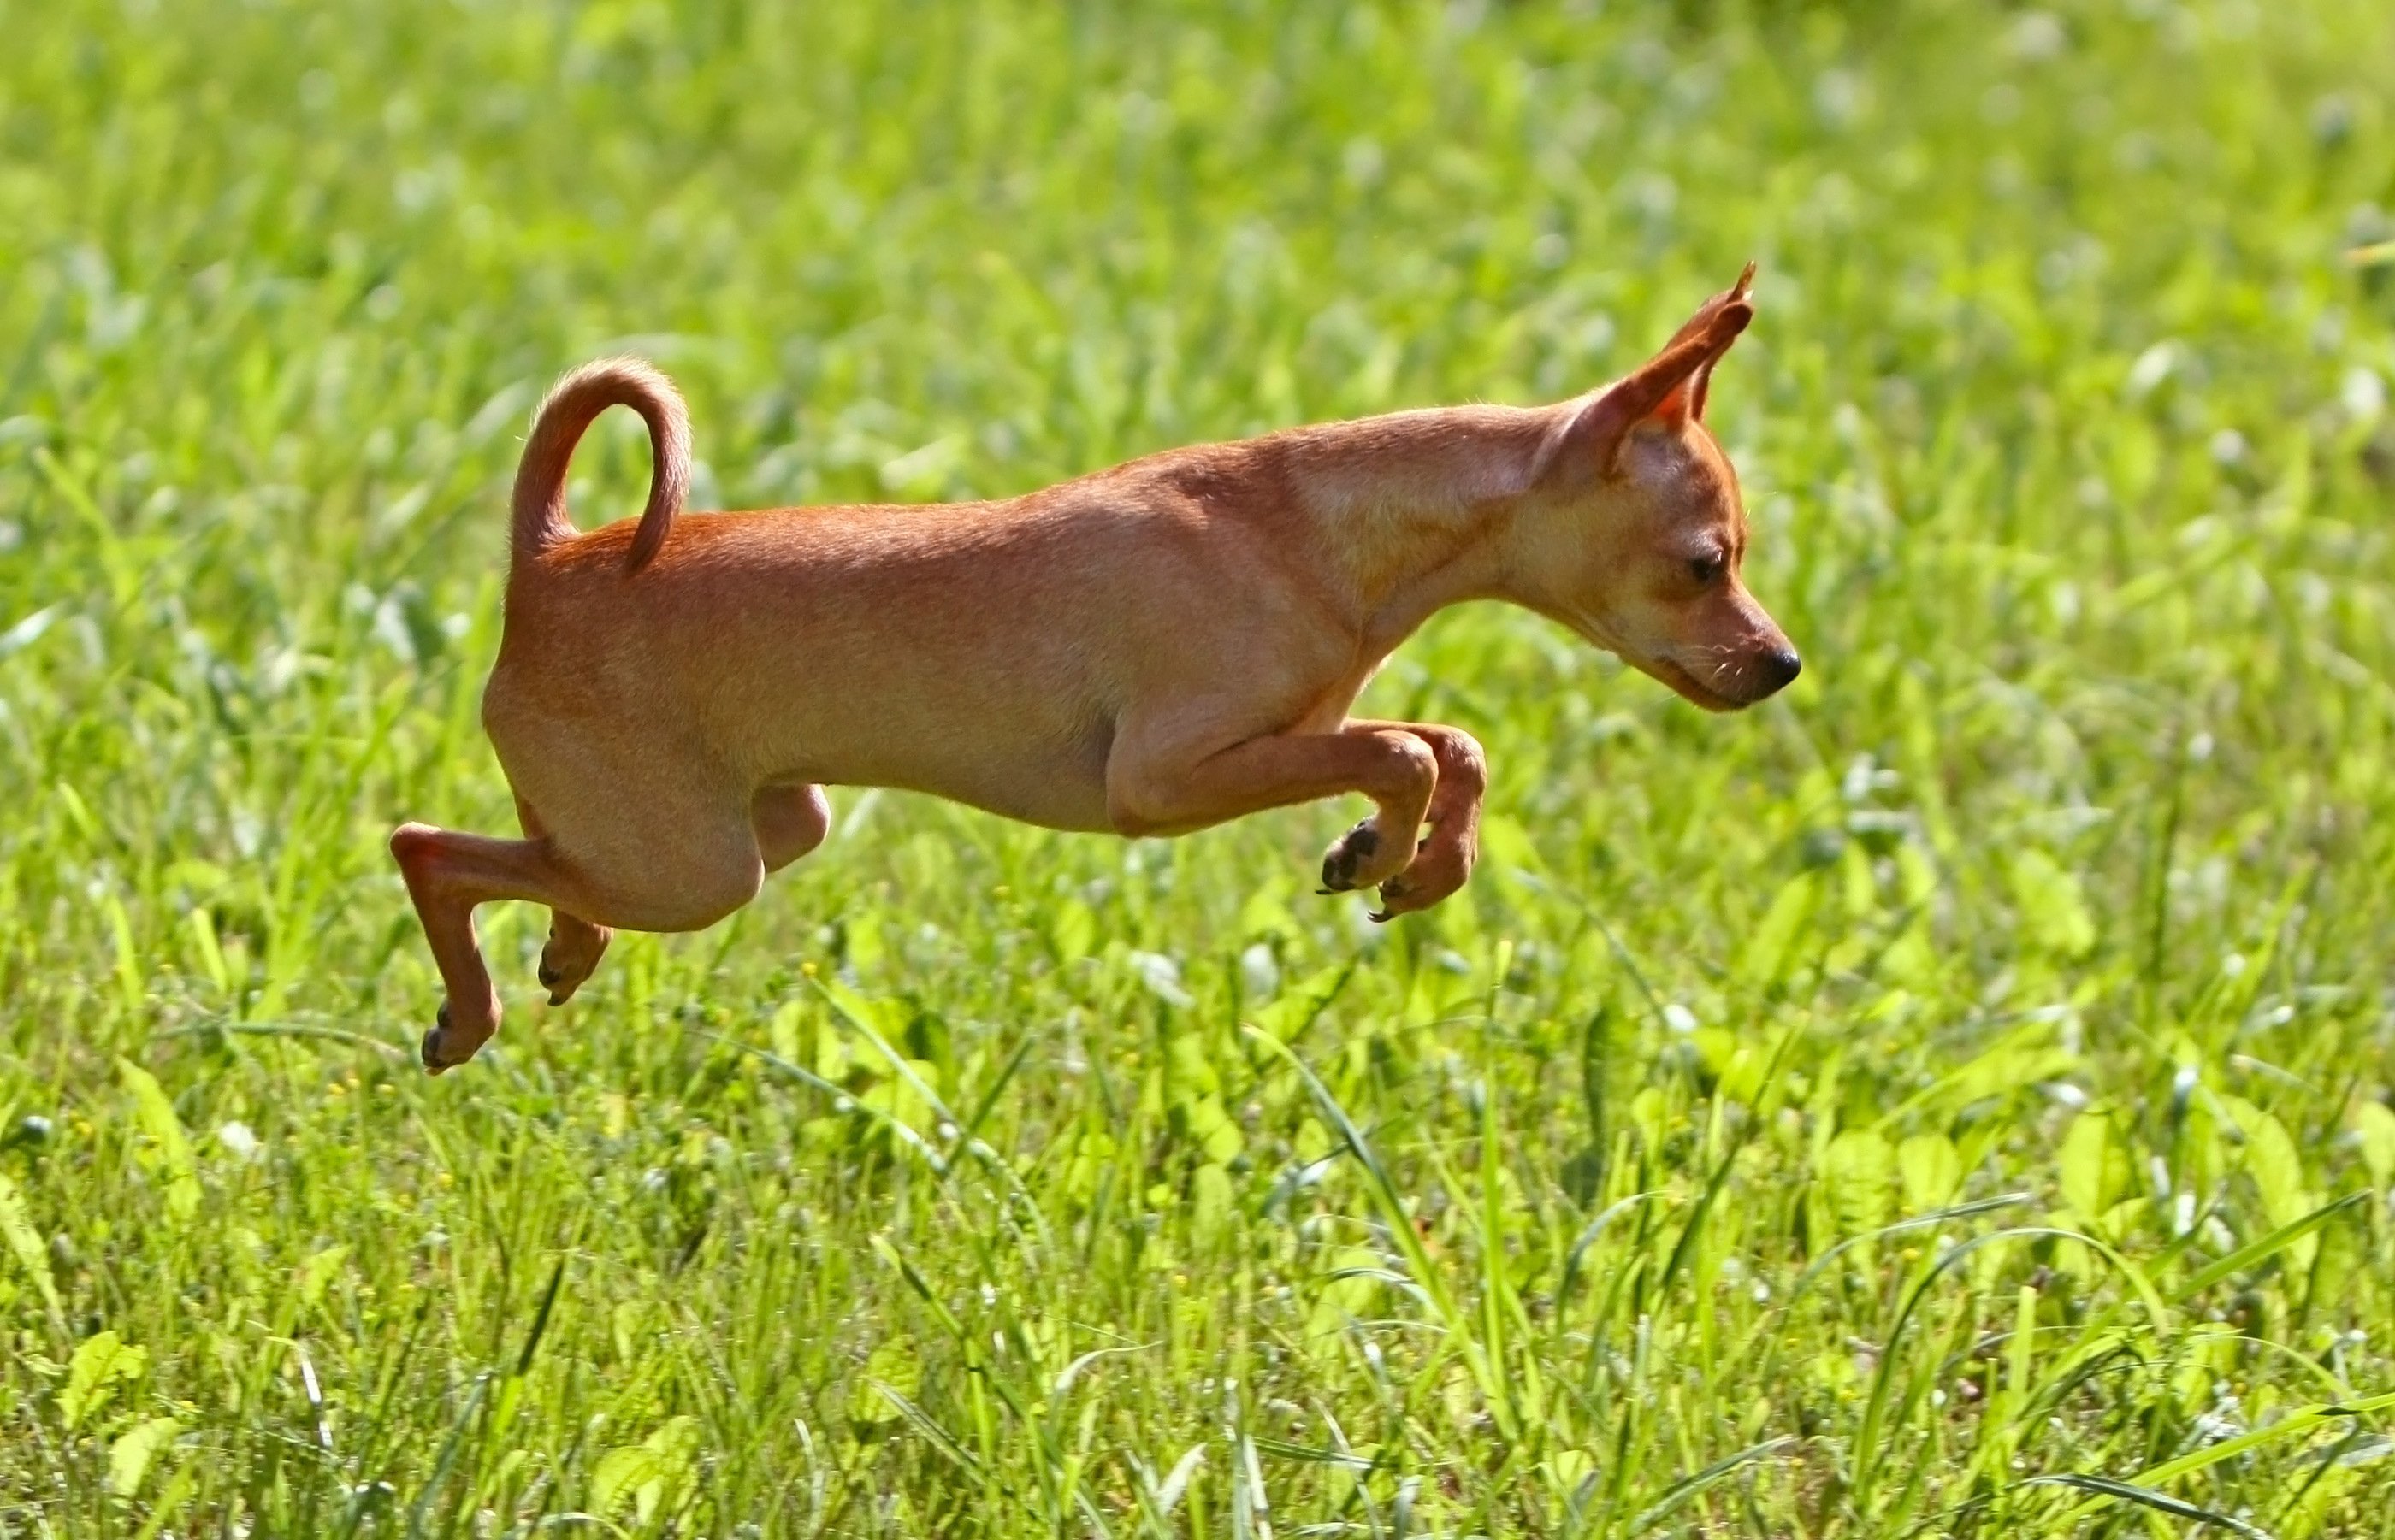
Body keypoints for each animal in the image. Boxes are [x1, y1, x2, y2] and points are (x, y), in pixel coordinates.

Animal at [387, 268, 1801, 1072]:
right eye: (1704, 562)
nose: (1782, 665)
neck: (1308, 526)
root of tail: (554, 554)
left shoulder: (1279, 743)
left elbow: (1450, 746)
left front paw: (1410, 857)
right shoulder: (1164, 783)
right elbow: (1406, 745)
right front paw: (1391, 846)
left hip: (746, 832)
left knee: (533, 854)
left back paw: (564, 950)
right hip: (697, 869)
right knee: (428, 847)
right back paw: (471, 1011)